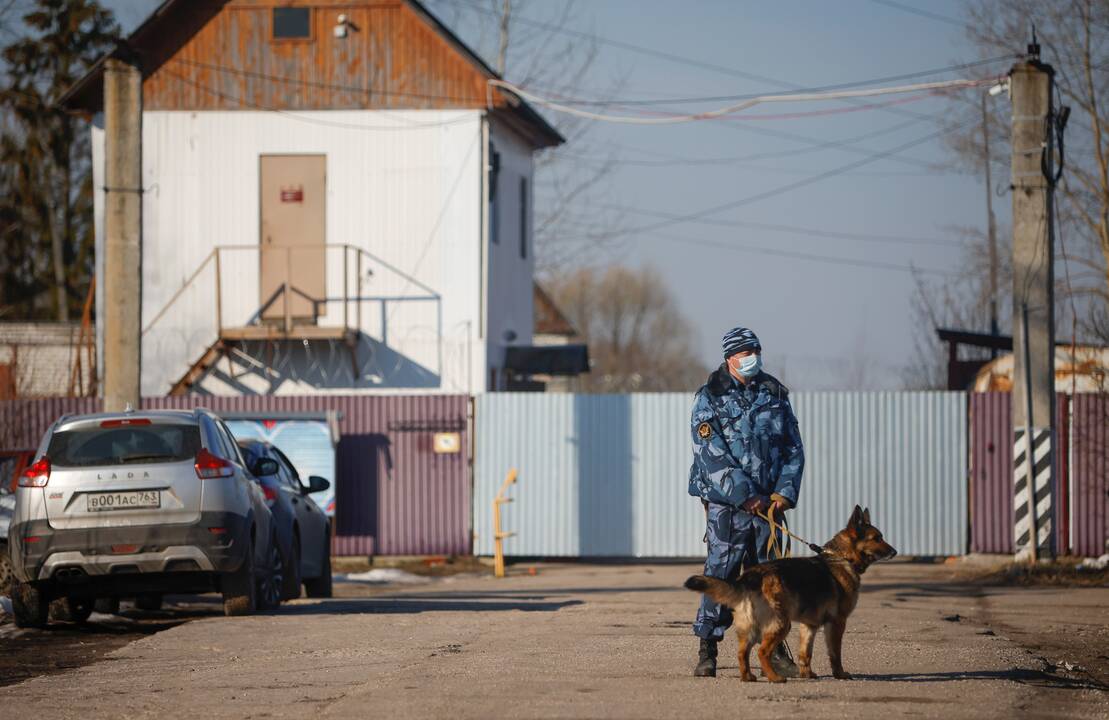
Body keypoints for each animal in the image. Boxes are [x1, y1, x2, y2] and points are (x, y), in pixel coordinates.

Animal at [683, 503, 891, 683]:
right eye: (877, 538)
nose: (894, 551)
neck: (841, 557)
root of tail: (753, 575)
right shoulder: (837, 623)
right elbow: (835, 654)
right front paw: (840, 674)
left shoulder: (809, 626)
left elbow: (805, 653)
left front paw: (807, 674)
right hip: (782, 623)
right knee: (762, 652)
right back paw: (774, 678)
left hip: (752, 627)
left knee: (743, 653)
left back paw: (748, 677)